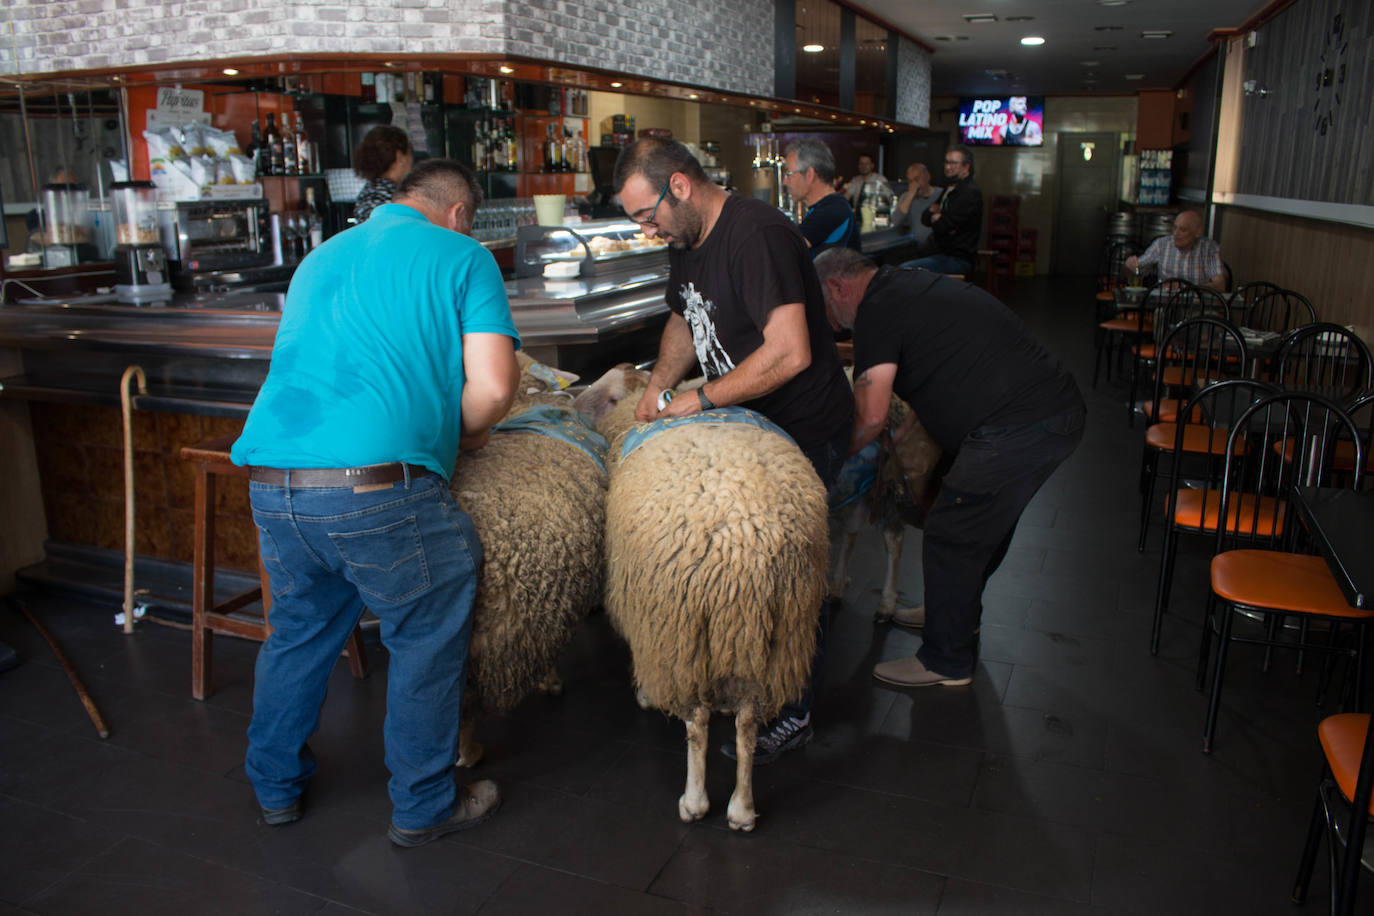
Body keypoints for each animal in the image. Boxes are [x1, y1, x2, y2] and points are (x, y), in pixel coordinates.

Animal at [571, 365, 824, 829]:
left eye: (609, 395)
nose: (576, 405)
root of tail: (742, 546)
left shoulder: (649, 613)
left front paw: (646, 695)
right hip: (772, 629)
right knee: (747, 725)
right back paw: (742, 809)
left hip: (681, 625)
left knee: (697, 724)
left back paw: (694, 802)